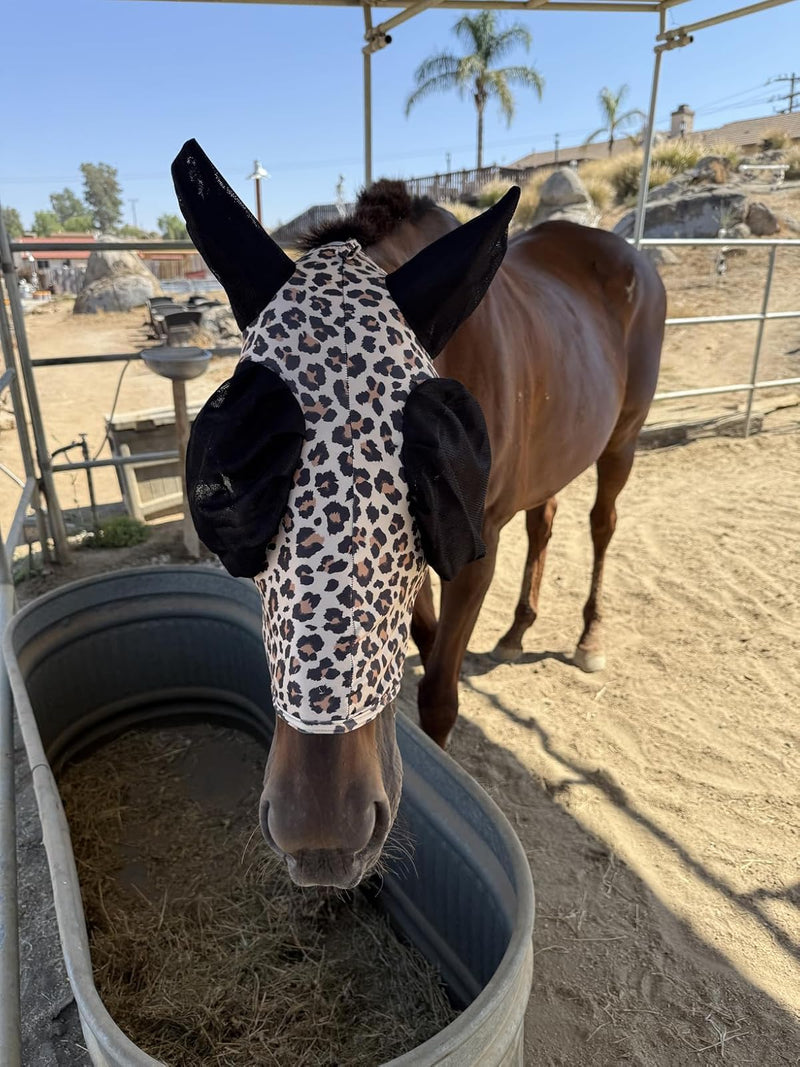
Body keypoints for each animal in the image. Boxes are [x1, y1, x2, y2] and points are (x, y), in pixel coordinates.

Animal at [172, 142, 665, 888]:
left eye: (419, 479)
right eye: (228, 488)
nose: (322, 835)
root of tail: (625, 252)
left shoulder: (470, 542)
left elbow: (438, 689)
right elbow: (427, 646)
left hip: (624, 438)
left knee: (602, 524)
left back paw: (589, 635)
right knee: (545, 518)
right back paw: (518, 628)